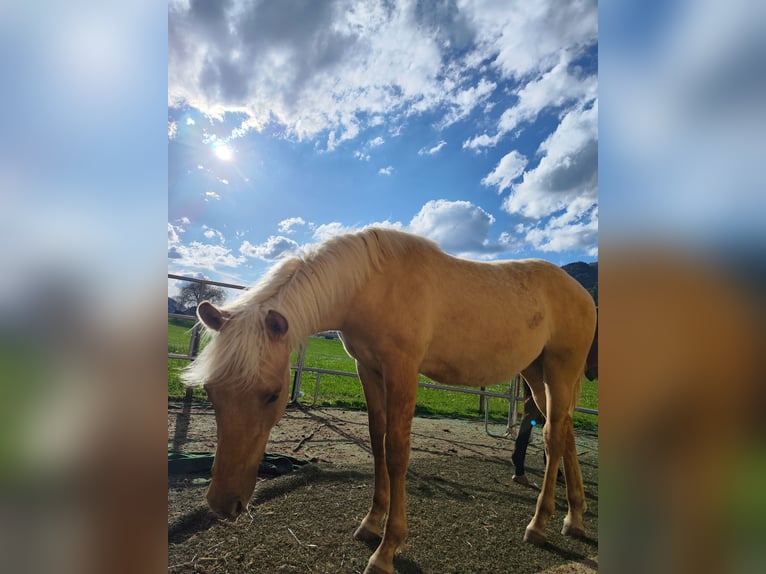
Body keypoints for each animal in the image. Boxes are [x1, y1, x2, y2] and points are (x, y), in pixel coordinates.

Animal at [182, 227, 597, 574]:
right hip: (536, 373)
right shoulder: (368, 369)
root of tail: (583, 295)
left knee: (553, 437)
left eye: (271, 395)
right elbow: (377, 440)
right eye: (211, 392)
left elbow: (397, 451)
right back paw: (575, 518)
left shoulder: (402, 371)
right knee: (565, 431)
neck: (370, 285)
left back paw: (539, 524)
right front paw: (370, 524)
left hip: (559, 370)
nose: (223, 503)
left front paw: (387, 549)